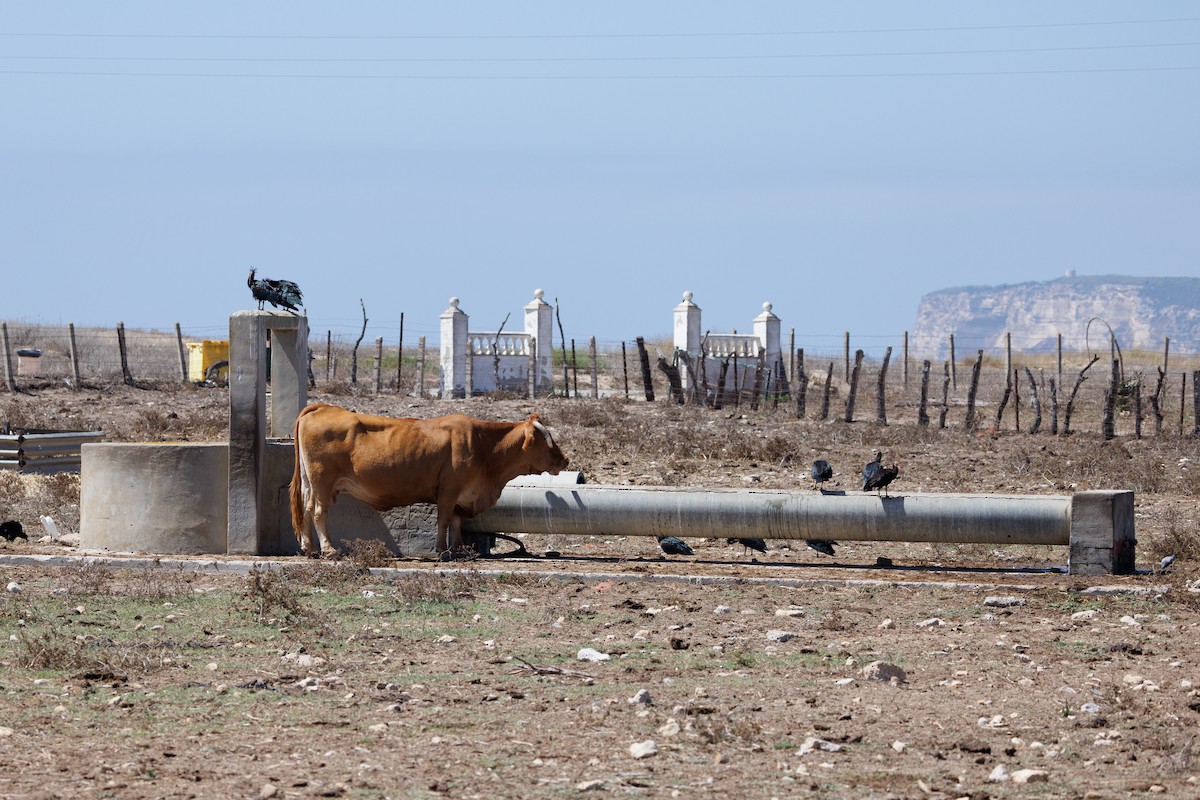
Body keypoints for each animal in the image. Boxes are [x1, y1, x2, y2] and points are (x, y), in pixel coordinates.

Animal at [291, 407, 571, 556]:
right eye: (546, 441)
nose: (566, 459)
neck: (483, 446)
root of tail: (323, 407)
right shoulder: (449, 490)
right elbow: (444, 520)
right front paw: (442, 550)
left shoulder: (461, 495)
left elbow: (456, 522)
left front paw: (460, 550)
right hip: (323, 481)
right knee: (319, 512)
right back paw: (329, 550)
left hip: (310, 483)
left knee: (306, 510)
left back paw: (309, 548)